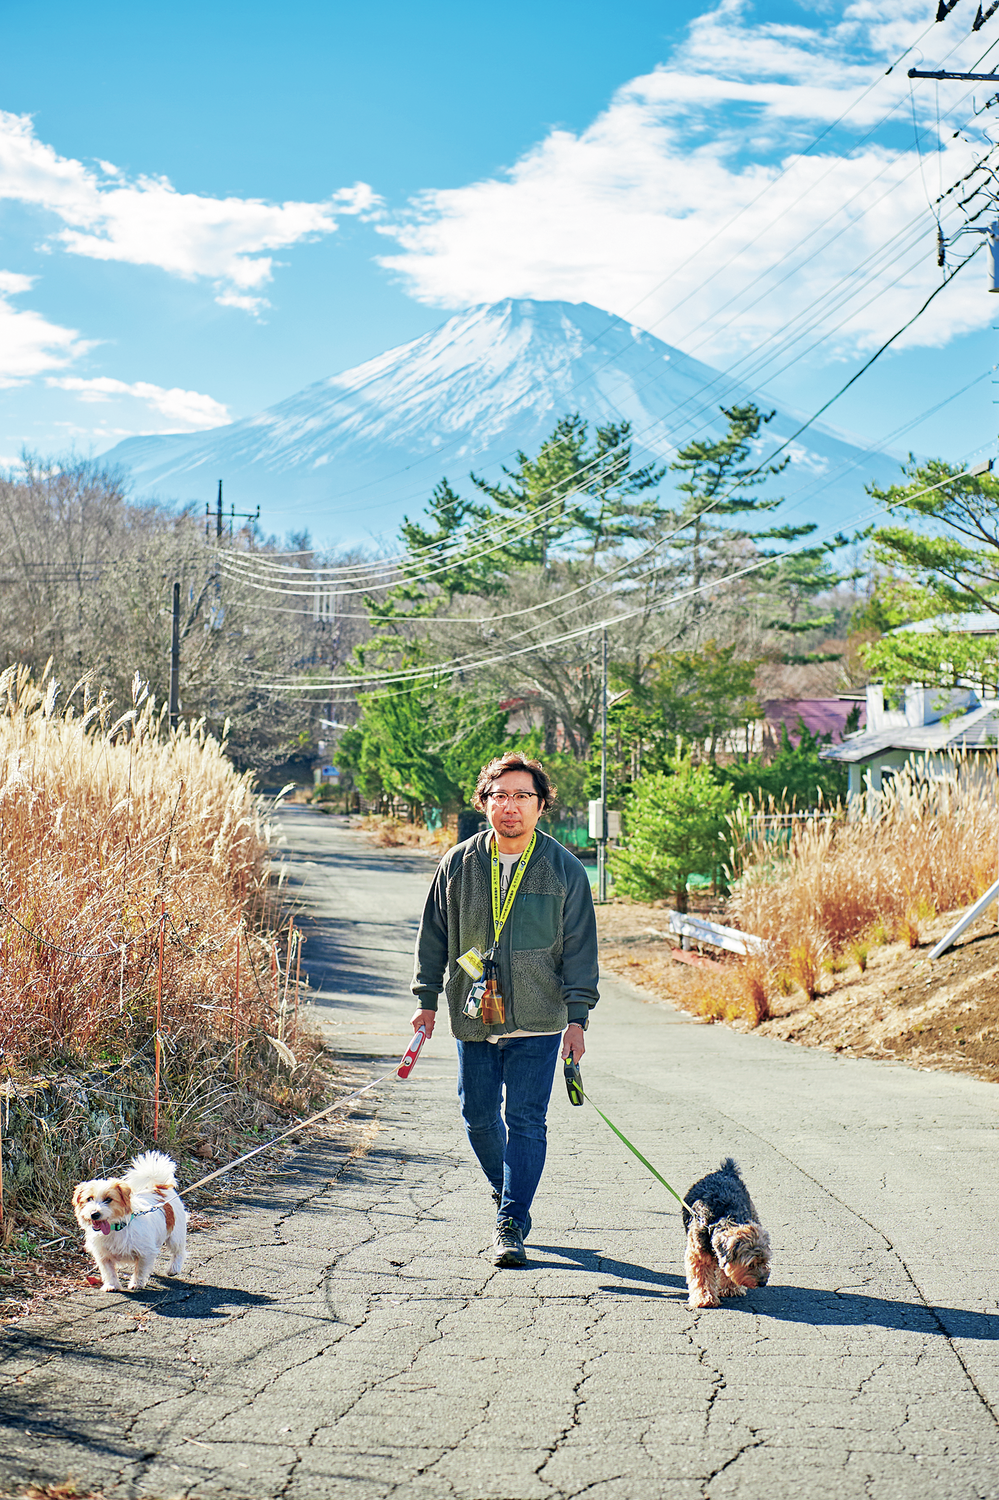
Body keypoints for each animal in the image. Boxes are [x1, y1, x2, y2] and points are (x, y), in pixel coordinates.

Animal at [73, 1146, 187, 1290]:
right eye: (89, 1199)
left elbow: (140, 1269)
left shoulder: (145, 1252)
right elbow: (109, 1271)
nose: (94, 1214)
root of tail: (160, 1188)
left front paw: (136, 1283)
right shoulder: (103, 1255)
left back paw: (174, 1268)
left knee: (179, 1252)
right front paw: (111, 1285)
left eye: (108, 1199)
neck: (115, 1228)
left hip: (175, 1236)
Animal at [678, 1152, 768, 1308]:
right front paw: (704, 1298)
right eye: (750, 1264)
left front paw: (731, 1288)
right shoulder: (698, 1255)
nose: (763, 1283)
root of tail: (726, 1170)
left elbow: (726, 1270)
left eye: (765, 1261)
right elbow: (701, 1278)